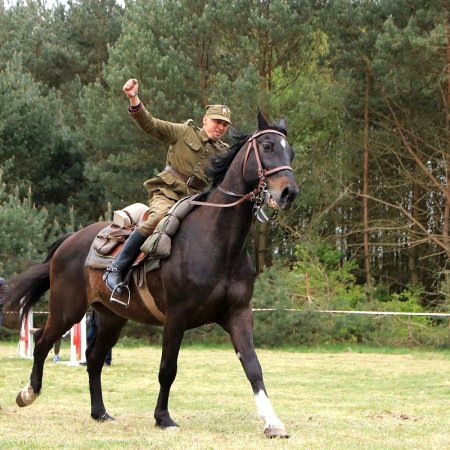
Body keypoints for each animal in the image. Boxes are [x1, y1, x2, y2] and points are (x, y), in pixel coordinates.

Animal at [4, 110, 298, 438]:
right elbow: (168, 369)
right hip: (68, 310)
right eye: (268, 146)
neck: (218, 243)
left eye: (290, 152)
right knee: (42, 341)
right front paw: (163, 417)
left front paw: (273, 422)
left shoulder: (238, 315)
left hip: (111, 318)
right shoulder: (176, 317)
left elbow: (253, 366)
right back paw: (28, 393)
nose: (289, 193)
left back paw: (100, 412)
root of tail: (71, 240)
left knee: (94, 359)